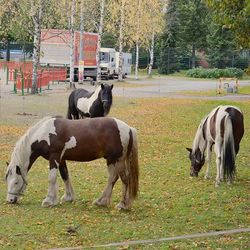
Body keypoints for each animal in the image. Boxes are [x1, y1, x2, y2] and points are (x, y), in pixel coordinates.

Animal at [5, 116, 139, 210]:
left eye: (16, 181)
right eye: (7, 180)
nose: (10, 200)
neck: (45, 133)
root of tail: (129, 128)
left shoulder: (54, 158)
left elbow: (51, 178)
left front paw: (48, 200)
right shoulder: (61, 160)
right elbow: (65, 176)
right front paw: (67, 198)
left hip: (118, 159)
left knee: (124, 179)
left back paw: (122, 205)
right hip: (111, 160)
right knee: (112, 178)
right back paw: (101, 201)